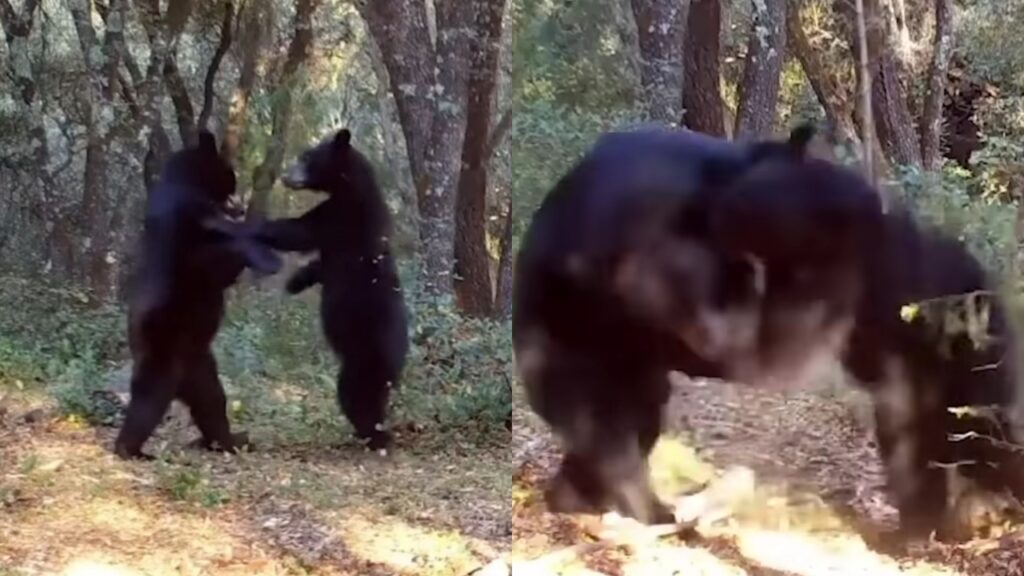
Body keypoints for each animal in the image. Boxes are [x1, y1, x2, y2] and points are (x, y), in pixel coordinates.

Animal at [115, 130, 282, 457]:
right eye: (229, 179)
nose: (239, 204)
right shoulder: (191, 223)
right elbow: (215, 259)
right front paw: (265, 256)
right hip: (163, 345)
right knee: (150, 397)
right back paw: (131, 449)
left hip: (201, 365)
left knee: (212, 402)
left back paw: (228, 440)